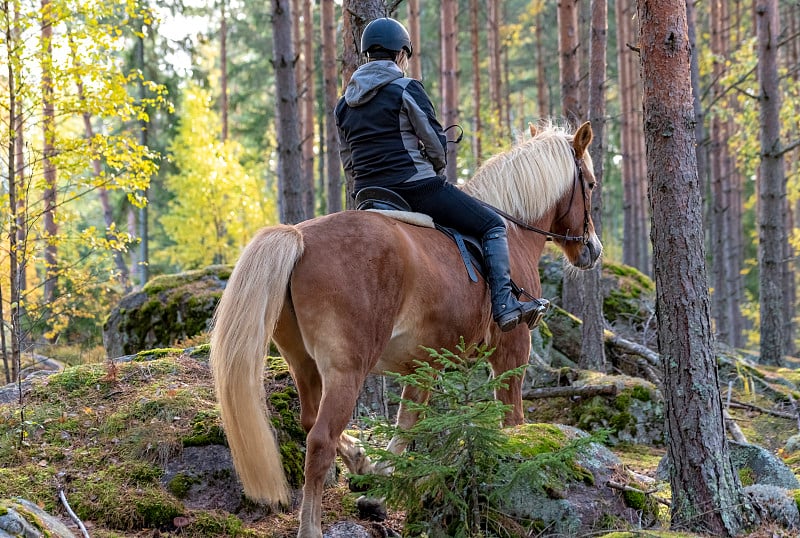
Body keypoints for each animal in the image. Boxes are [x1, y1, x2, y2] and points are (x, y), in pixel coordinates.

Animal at [209, 121, 604, 536]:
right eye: (591, 184)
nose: (592, 250)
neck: (511, 231)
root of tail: (299, 238)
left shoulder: (423, 365)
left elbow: (406, 426)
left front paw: (378, 487)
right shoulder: (512, 349)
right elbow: (512, 420)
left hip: (303, 364)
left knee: (309, 421)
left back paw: (359, 459)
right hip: (348, 369)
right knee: (320, 440)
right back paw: (312, 526)